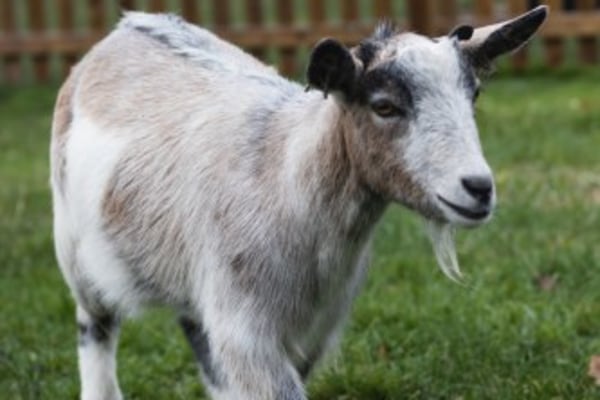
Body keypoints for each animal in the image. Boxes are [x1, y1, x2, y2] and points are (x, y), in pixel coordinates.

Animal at [50, 7, 548, 400]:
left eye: (473, 95)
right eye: (384, 106)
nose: (478, 188)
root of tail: (126, 26)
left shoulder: (313, 329)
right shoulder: (247, 331)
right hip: (74, 249)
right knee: (95, 327)